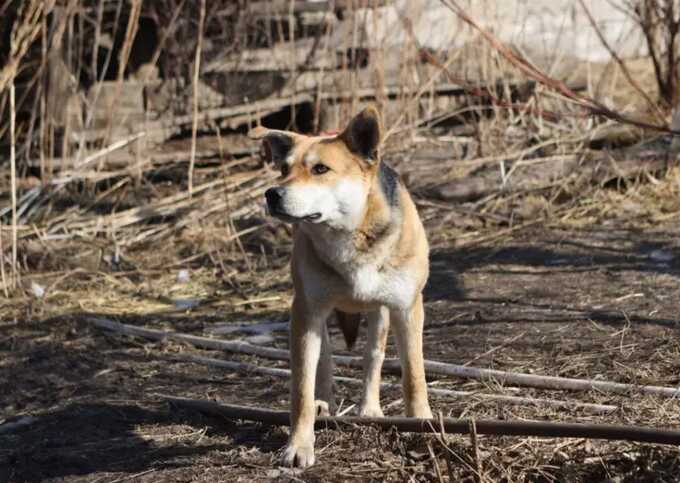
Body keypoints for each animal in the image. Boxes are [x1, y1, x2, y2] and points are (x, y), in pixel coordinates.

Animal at [248, 107, 430, 468]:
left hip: (380, 312)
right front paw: (299, 445)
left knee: (373, 355)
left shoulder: (407, 308)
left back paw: (369, 408)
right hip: (315, 314)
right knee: (325, 362)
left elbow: (414, 376)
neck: (349, 236)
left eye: (320, 169)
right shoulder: (306, 312)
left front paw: (423, 425)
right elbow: (301, 389)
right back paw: (325, 404)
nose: (272, 194)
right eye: (284, 169)